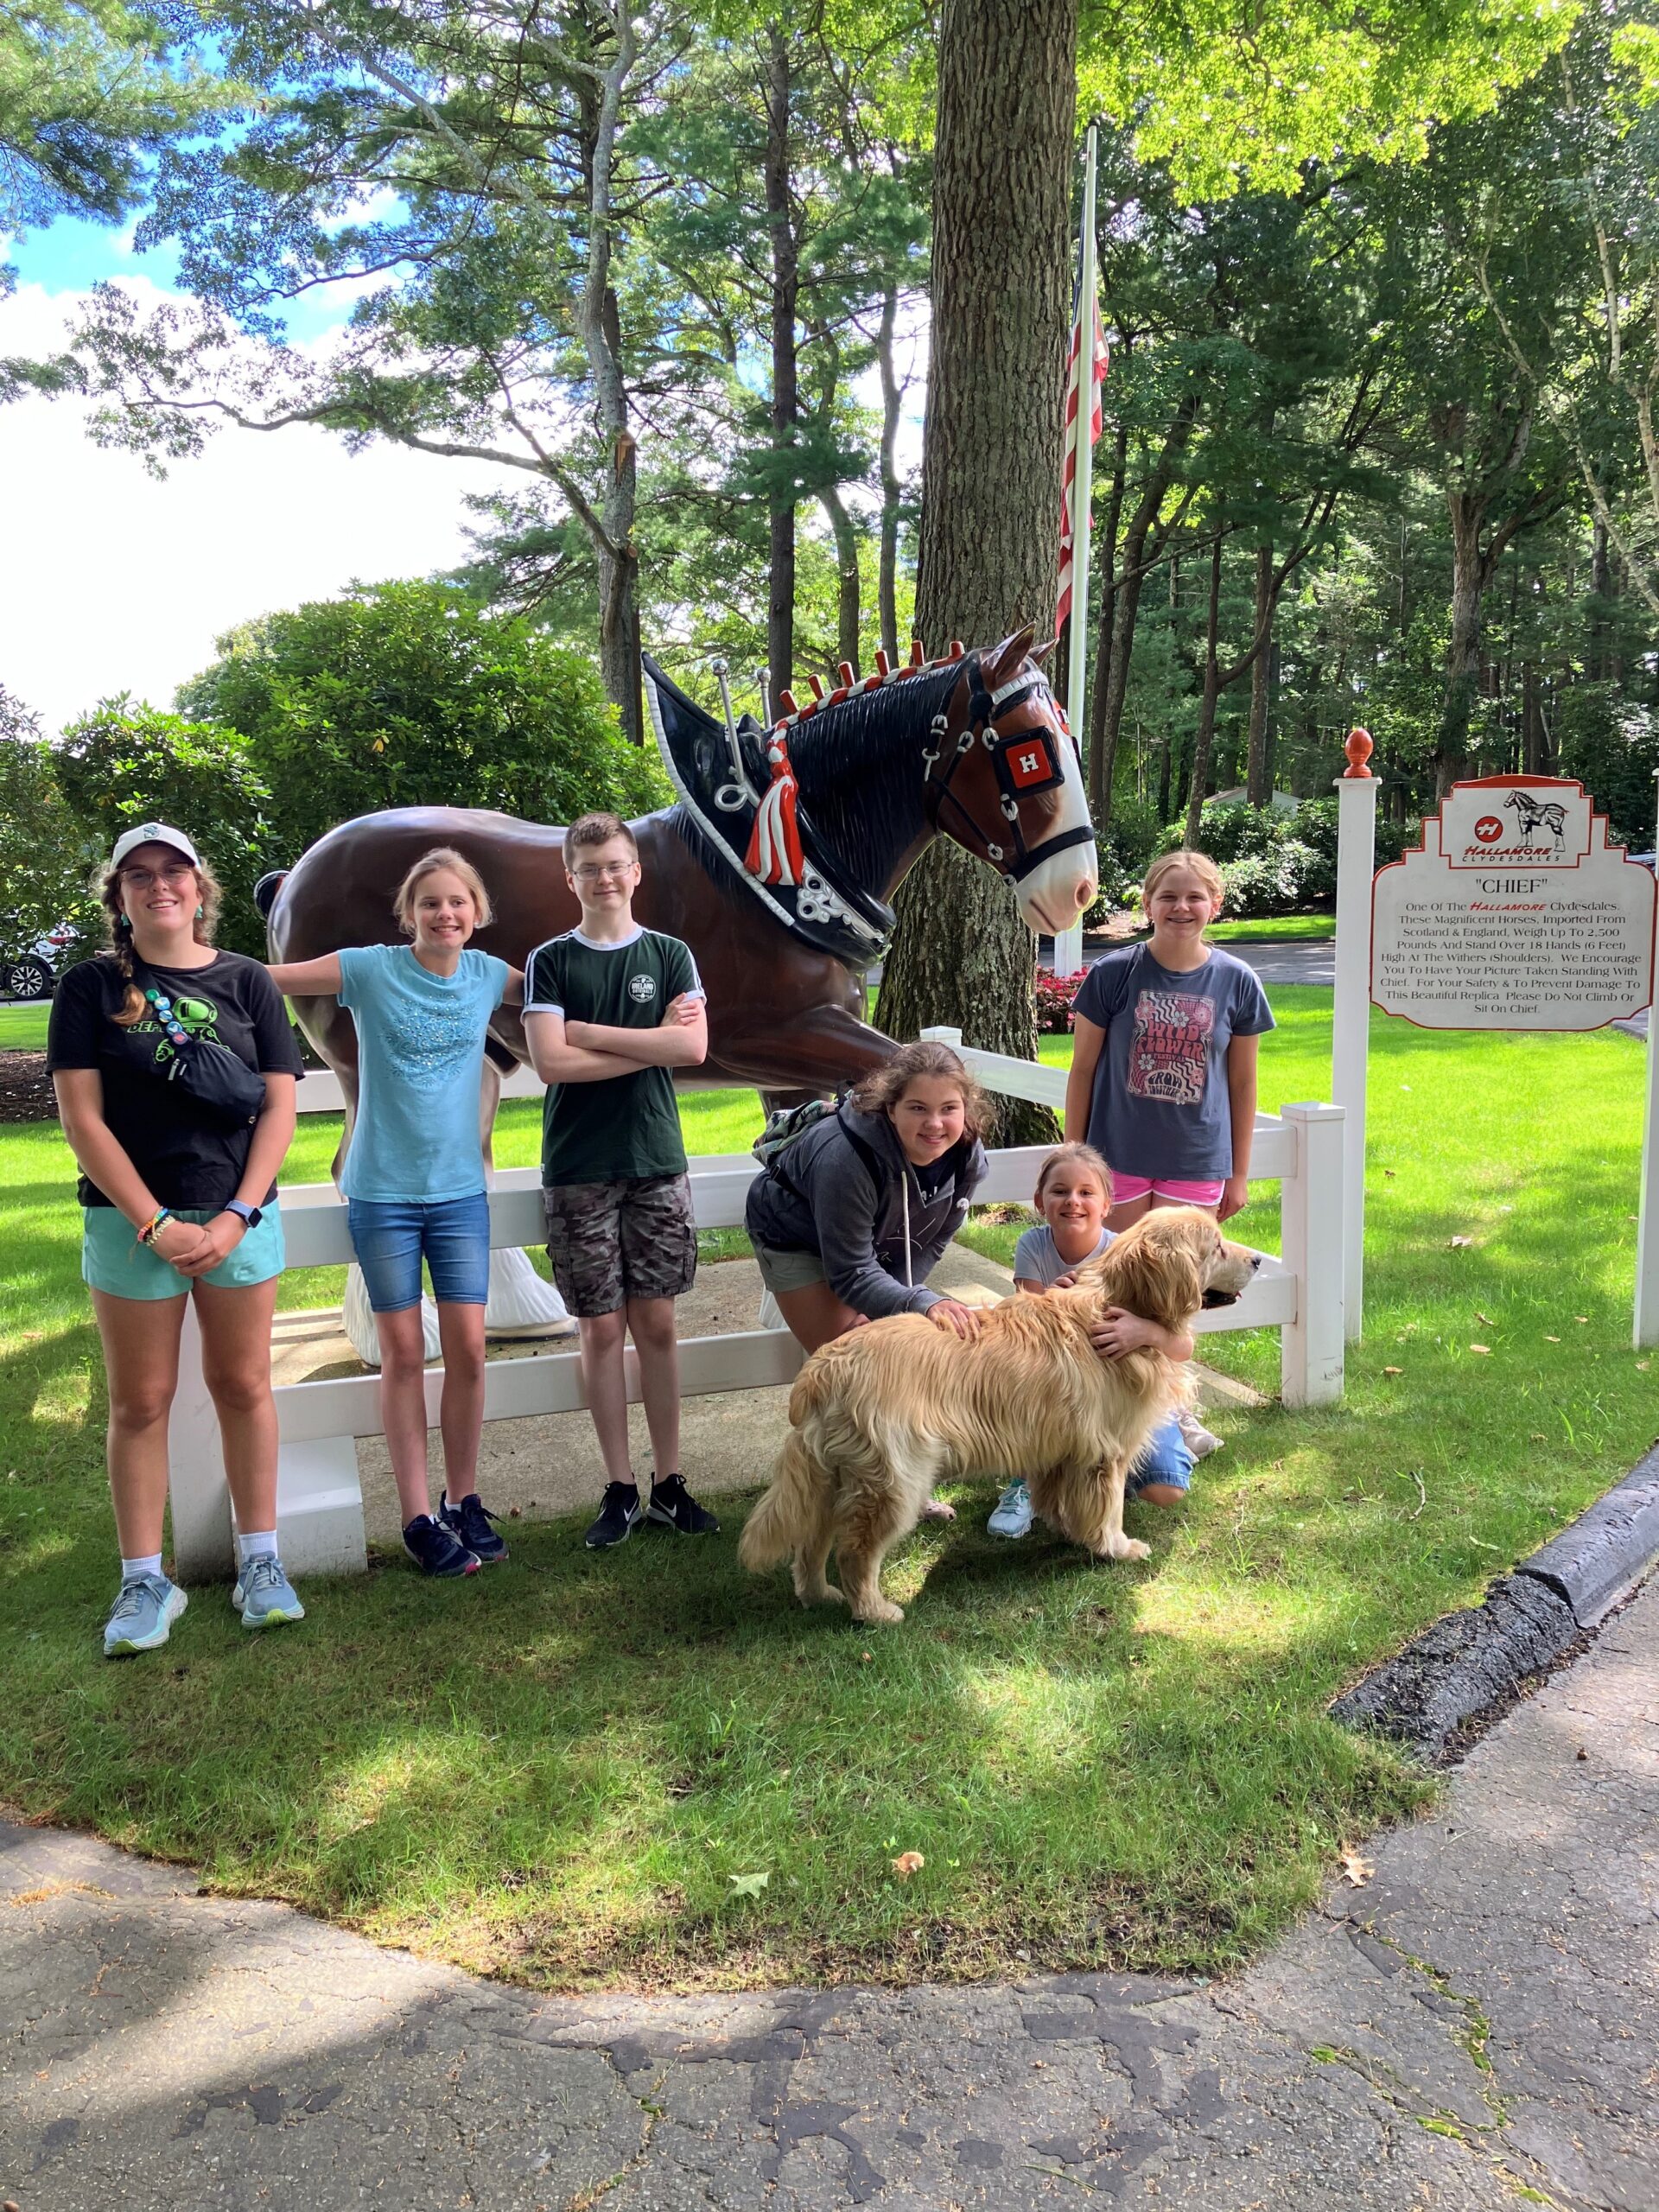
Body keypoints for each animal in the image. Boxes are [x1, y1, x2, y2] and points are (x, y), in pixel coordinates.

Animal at [739, 1211, 1256, 1628]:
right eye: (1217, 1246)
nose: (1257, 1261)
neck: (1119, 1305)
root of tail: (824, 1368)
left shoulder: (1061, 1446)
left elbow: (1058, 1498)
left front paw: (1069, 1532)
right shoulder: (1106, 1452)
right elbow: (1108, 1509)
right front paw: (1117, 1547)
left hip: (832, 1475)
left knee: (811, 1543)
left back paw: (818, 1595)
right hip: (894, 1482)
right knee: (854, 1551)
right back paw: (875, 1612)